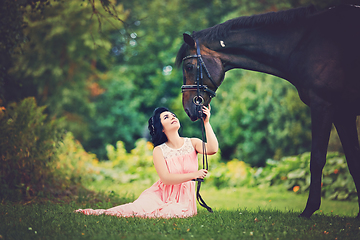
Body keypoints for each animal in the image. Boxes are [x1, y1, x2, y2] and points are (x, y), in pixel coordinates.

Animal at [176, 4, 360, 219]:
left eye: (189, 66)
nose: (188, 108)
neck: (305, 44)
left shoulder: (322, 105)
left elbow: (317, 158)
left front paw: (309, 210)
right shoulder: (343, 113)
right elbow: (353, 159)